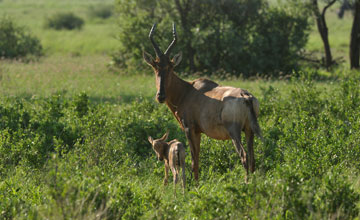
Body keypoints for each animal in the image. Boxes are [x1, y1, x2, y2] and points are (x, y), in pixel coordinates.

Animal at [143, 23, 262, 181]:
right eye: (155, 66)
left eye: (170, 67)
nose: (160, 96)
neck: (187, 91)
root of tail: (246, 96)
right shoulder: (199, 132)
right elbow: (198, 159)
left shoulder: (189, 129)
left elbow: (194, 160)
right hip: (249, 130)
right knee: (252, 158)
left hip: (234, 131)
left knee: (244, 156)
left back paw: (246, 182)